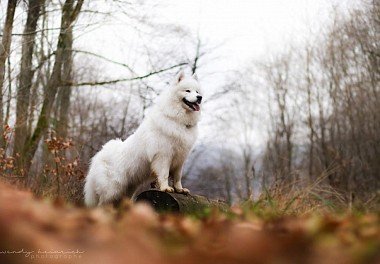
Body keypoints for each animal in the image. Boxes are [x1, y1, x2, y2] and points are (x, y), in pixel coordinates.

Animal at [83, 71, 202, 207]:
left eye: (197, 91)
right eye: (187, 91)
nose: (200, 97)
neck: (178, 120)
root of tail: (101, 153)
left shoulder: (180, 158)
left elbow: (177, 177)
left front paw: (180, 190)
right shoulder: (164, 155)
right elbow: (164, 174)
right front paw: (166, 188)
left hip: (128, 189)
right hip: (112, 190)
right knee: (101, 204)